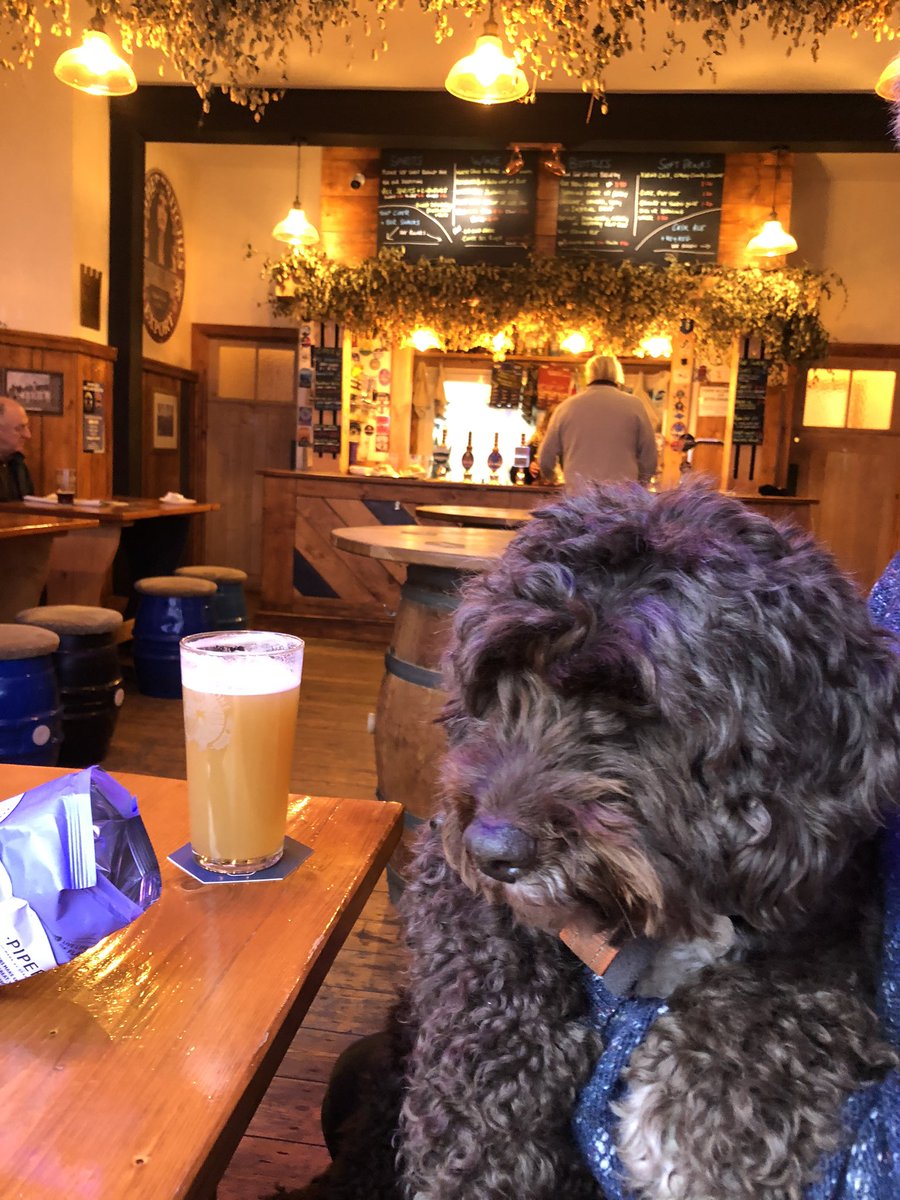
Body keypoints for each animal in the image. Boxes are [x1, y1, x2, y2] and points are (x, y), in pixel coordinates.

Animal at [285, 484, 900, 1200]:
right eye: (502, 685)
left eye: (631, 705)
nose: (494, 850)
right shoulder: (450, 869)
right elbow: (484, 976)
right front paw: (482, 1138)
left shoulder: (824, 904)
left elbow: (793, 982)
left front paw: (714, 1114)